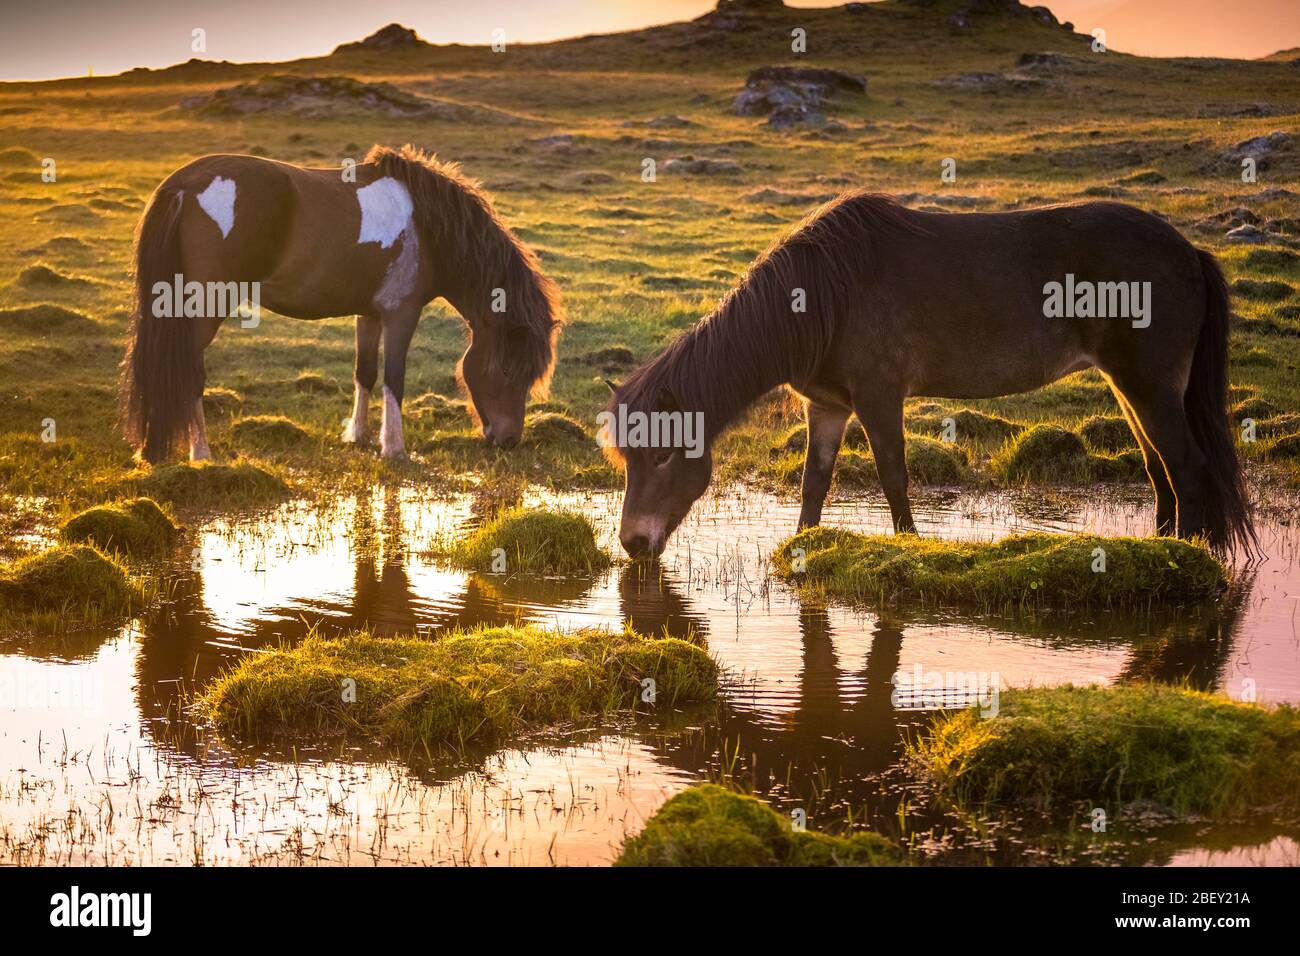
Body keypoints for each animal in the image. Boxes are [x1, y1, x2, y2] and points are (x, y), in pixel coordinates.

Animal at [122, 143, 564, 468]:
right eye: (506, 369)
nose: (509, 440)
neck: (428, 226)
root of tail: (182, 186)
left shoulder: (368, 313)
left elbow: (364, 372)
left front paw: (359, 436)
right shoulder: (401, 314)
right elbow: (394, 379)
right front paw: (395, 449)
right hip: (203, 309)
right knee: (188, 371)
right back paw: (201, 453)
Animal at [611, 195, 1258, 561]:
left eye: (664, 455)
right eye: (629, 458)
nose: (632, 544)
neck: (823, 295)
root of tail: (1189, 252)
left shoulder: (879, 397)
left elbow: (894, 478)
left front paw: (907, 550)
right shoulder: (828, 406)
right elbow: (814, 485)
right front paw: (802, 548)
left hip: (1148, 385)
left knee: (1187, 468)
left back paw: (1183, 563)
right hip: (1132, 388)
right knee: (1158, 467)